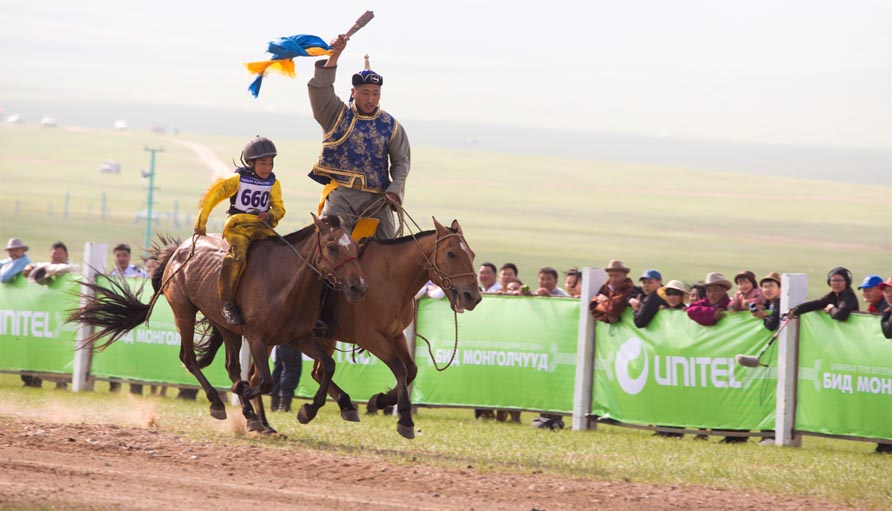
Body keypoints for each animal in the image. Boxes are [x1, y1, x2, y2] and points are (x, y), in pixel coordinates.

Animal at [68, 214, 367, 431]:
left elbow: (327, 366)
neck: (284, 283)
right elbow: (265, 381)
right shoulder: (258, 338)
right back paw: (218, 403)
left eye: (355, 247)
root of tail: (177, 251)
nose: (359, 287)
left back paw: (251, 415)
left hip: (226, 326)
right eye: (332, 247)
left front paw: (311, 410)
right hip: (184, 312)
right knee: (189, 358)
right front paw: (243, 393)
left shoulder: (299, 337)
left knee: (232, 366)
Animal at [201, 217, 482, 438]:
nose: (473, 296)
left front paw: (381, 400)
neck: (390, 277)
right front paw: (404, 419)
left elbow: (410, 370)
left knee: (300, 373)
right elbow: (400, 369)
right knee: (265, 376)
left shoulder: (395, 335)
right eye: (452, 254)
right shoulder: (371, 337)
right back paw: (266, 420)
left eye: (472, 254)